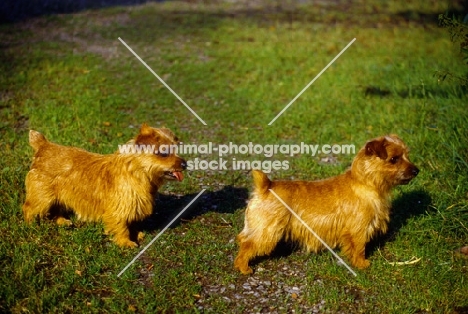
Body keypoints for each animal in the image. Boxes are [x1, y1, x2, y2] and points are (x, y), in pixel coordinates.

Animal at [22, 123, 186, 248]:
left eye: (176, 149)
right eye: (163, 153)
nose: (185, 164)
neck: (137, 173)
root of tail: (44, 145)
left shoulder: (134, 205)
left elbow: (132, 223)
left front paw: (137, 234)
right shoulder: (119, 209)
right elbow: (122, 227)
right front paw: (125, 242)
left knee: (56, 209)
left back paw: (62, 221)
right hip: (42, 196)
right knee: (28, 208)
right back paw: (30, 225)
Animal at [236, 134, 418, 274]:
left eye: (407, 155)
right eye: (393, 159)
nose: (417, 170)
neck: (365, 183)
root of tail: (265, 186)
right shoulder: (358, 229)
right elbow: (359, 248)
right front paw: (361, 264)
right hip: (267, 231)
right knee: (247, 245)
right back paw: (244, 268)